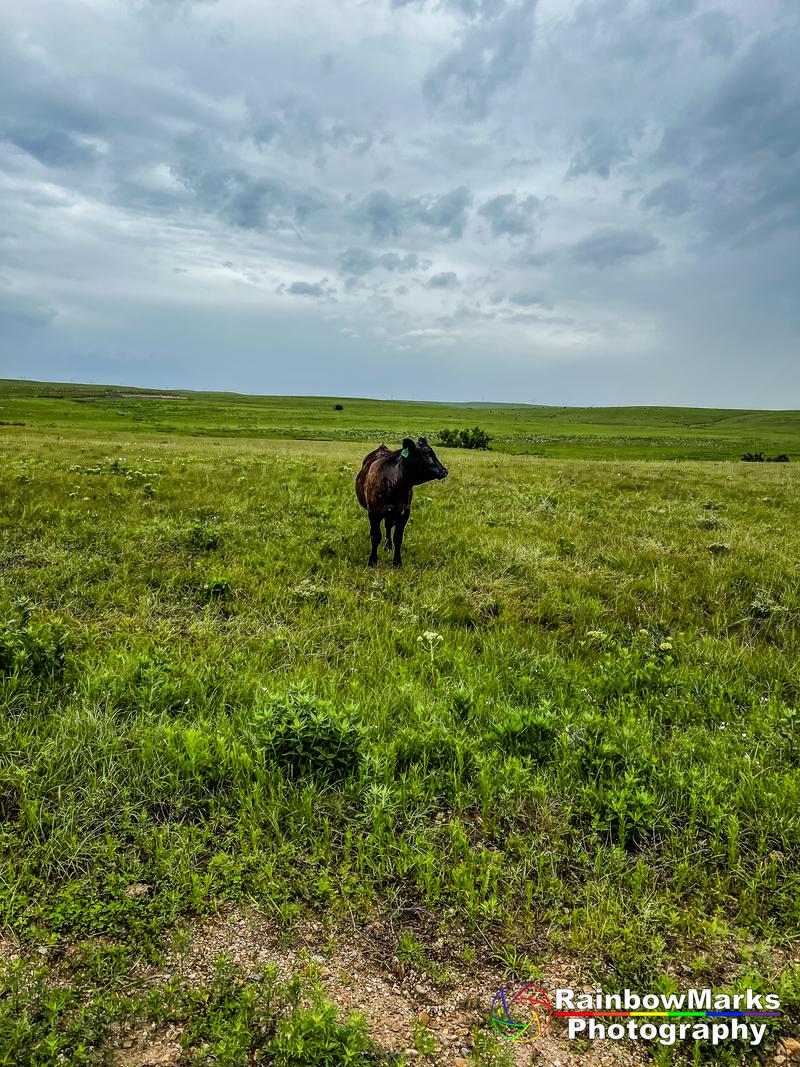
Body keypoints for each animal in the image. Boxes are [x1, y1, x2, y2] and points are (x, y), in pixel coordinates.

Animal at [358, 435, 452, 567]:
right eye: (426, 455)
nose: (444, 471)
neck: (394, 484)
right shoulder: (373, 512)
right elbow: (375, 536)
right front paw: (372, 561)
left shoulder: (404, 512)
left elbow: (398, 538)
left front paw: (397, 562)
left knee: (388, 527)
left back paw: (388, 547)